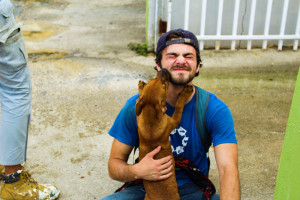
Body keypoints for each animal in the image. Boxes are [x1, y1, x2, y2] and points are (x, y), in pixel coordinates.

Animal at [135, 69, 193, 200]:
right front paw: (185, 93)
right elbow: (179, 105)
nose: (164, 70)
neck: (150, 116)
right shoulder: (174, 121)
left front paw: (141, 87)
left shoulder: (138, 116)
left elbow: (138, 101)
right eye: (164, 85)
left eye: (151, 79)